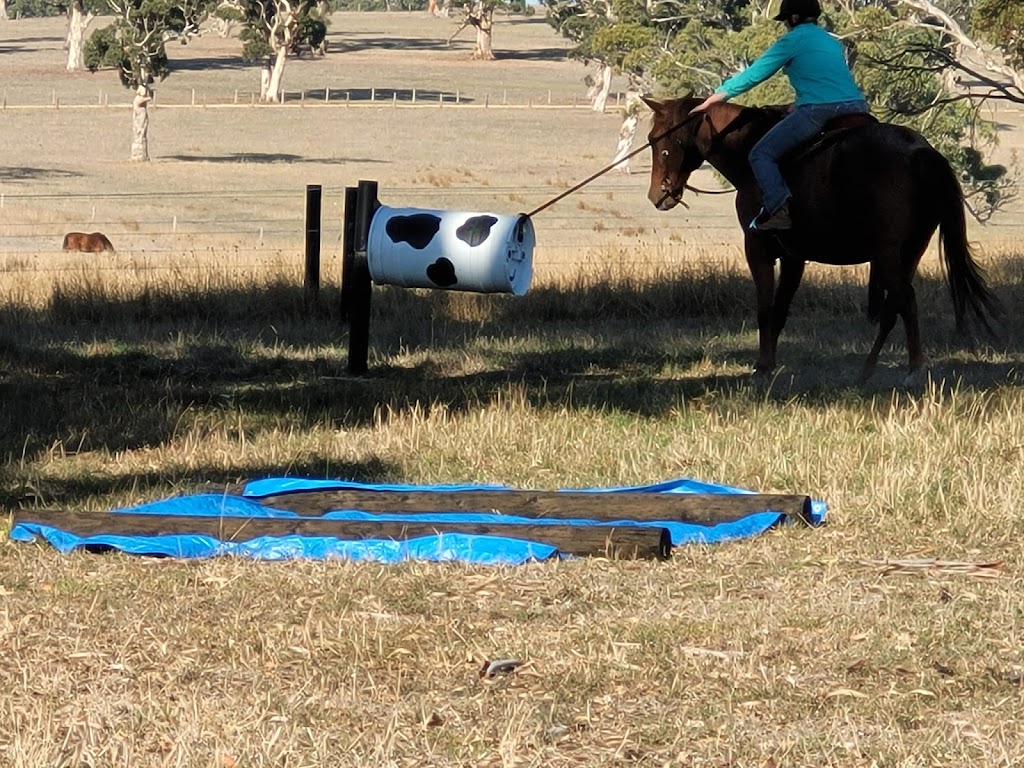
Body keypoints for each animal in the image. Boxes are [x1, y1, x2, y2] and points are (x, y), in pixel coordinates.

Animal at [643, 96, 995, 385]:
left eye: (660, 140)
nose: (658, 194)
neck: (747, 151)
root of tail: (920, 151)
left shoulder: (757, 249)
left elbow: (765, 309)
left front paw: (762, 367)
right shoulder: (794, 257)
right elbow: (780, 311)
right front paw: (770, 365)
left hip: (888, 254)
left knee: (904, 301)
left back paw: (913, 369)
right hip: (910, 251)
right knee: (893, 307)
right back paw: (866, 371)